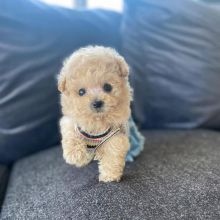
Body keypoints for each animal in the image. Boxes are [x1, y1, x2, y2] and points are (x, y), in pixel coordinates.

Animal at [57, 46, 131, 182]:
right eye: (81, 92)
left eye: (107, 87)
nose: (97, 103)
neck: (97, 119)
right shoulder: (71, 120)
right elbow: (70, 132)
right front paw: (75, 155)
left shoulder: (116, 133)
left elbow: (113, 152)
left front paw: (109, 175)